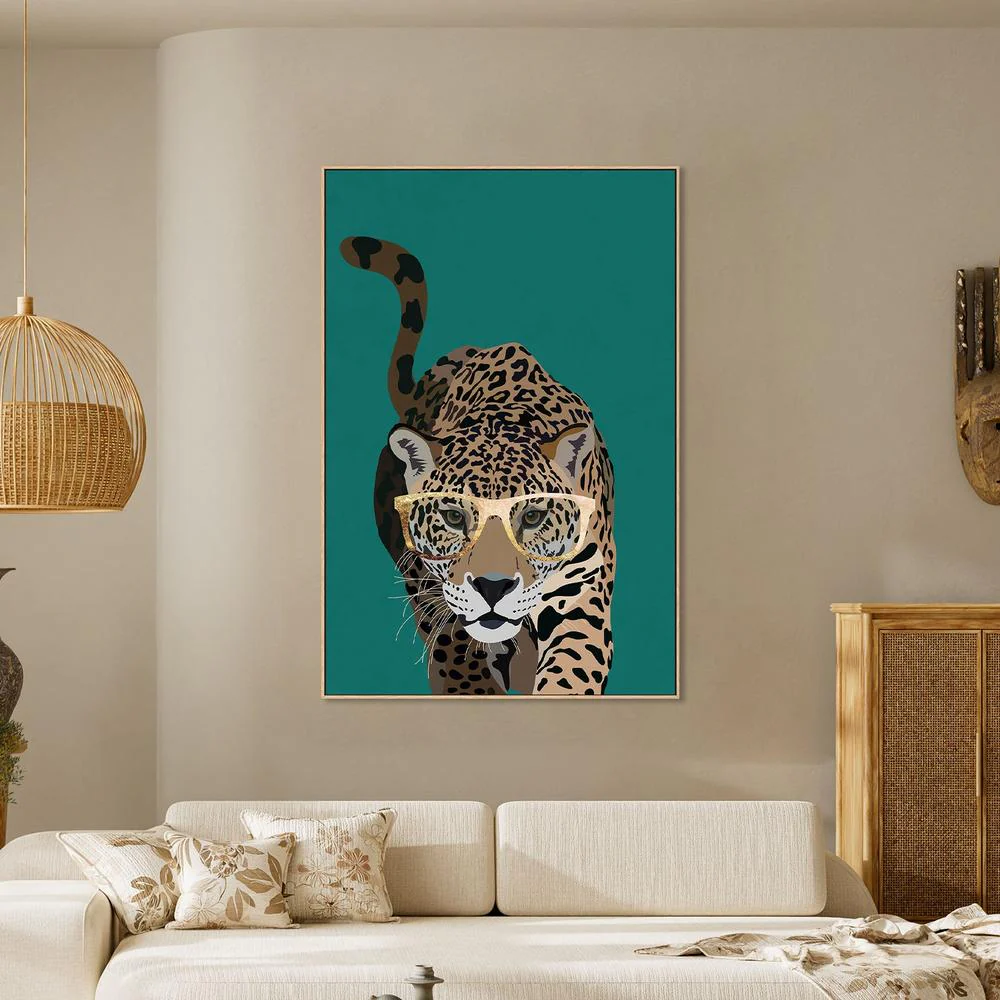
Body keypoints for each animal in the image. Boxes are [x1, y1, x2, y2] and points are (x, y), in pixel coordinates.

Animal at [340, 235, 616, 695]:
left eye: (533, 516)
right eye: (453, 517)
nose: (493, 586)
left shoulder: (582, 593)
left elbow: (571, 670)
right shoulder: (434, 594)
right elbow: (458, 657)